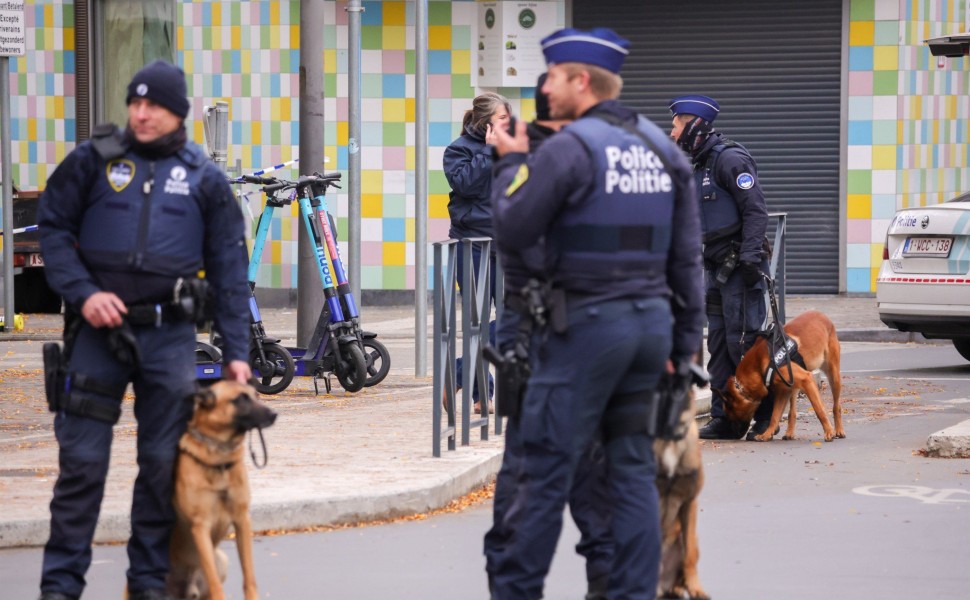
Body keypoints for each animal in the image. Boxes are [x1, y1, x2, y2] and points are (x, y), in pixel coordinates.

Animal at [166, 382, 276, 600]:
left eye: (256, 396)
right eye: (240, 399)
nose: (274, 414)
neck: (220, 460)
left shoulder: (242, 521)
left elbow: (249, 577)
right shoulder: (200, 526)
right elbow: (216, 583)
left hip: (222, 560)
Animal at [720, 312, 840, 442]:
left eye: (732, 414)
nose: (734, 435)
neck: (758, 364)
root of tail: (821, 314)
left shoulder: (806, 380)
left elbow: (819, 409)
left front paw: (829, 431)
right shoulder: (783, 390)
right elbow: (775, 415)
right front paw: (767, 434)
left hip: (834, 377)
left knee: (836, 406)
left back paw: (839, 431)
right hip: (794, 386)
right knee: (792, 412)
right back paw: (789, 433)